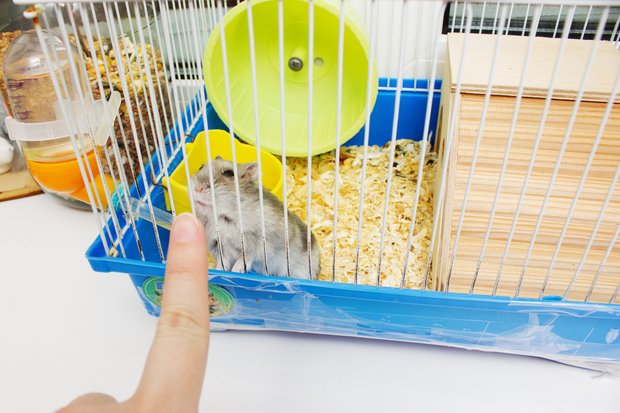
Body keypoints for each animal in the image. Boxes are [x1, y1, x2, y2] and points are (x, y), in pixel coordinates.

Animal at [191, 155, 322, 280]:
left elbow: (248, 255)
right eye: (200, 167)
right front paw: (220, 270)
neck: (223, 216)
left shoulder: (262, 241)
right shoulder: (217, 244)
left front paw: (237, 270)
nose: (197, 188)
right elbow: (222, 259)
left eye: (229, 173)